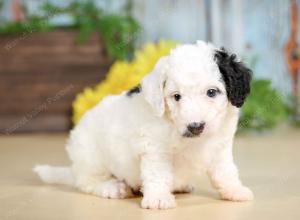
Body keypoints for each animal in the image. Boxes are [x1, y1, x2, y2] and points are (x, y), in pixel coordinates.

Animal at [34, 40, 253, 210]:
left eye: (211, 92)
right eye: (176, 96)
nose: (195, 126)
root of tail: (74, 168)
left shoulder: (220, 147)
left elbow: (226, 171)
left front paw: (235, 190)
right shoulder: (156, 149)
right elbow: (158, 174)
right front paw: (159, 198)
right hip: (92, 157)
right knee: (86, 182)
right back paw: (111, 187)